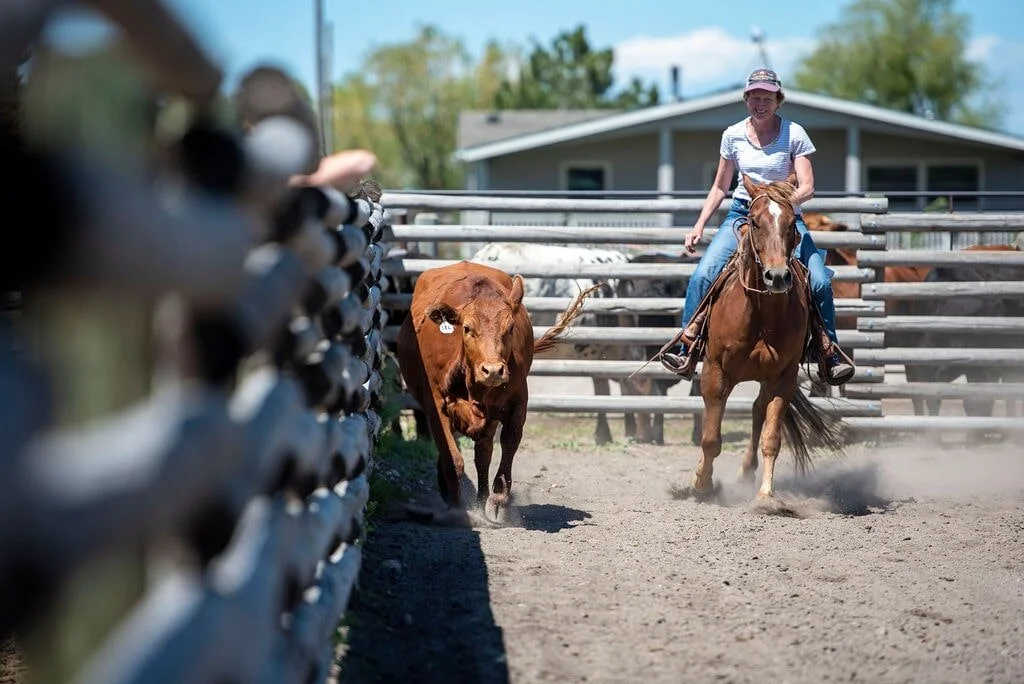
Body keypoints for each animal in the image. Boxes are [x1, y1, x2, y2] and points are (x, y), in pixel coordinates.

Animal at [691, 174, 845, 499]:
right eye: (755, 221)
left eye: (790, 223)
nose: (777, 277)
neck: (761, 315)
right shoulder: (715, 370)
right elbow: (710, 437)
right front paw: (702, 483)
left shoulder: (784, 377)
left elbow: (771, 439)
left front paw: (765, 496)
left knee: (758, 410)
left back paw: (748, 473)